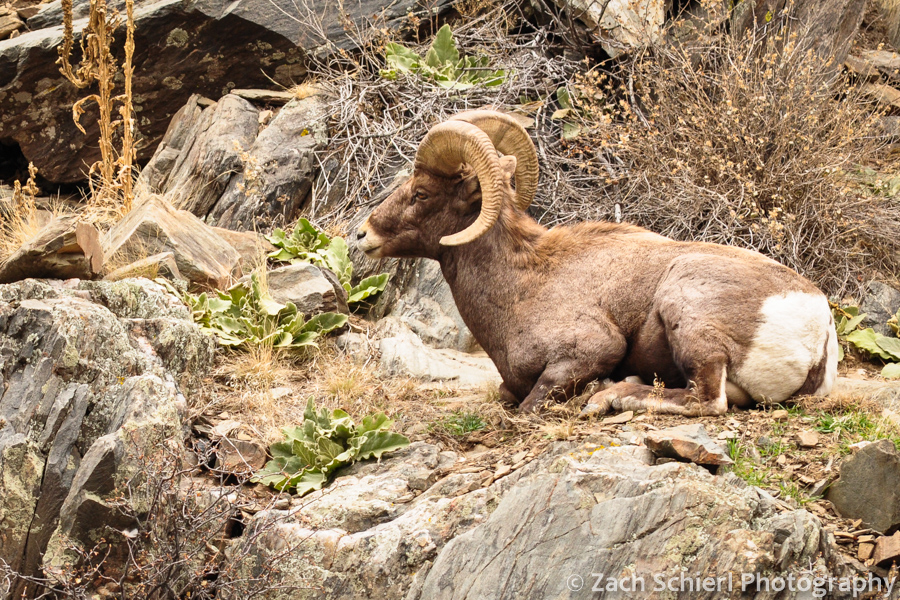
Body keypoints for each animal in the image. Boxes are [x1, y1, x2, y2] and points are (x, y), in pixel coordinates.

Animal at [356, 110, 838, 415]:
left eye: (420, 193)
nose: (362, 235)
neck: (519, 285)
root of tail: (818, 324)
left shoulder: (592, 349)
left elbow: (529, 405)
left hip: (686, 307)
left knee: (707, 400)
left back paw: (610, 396)